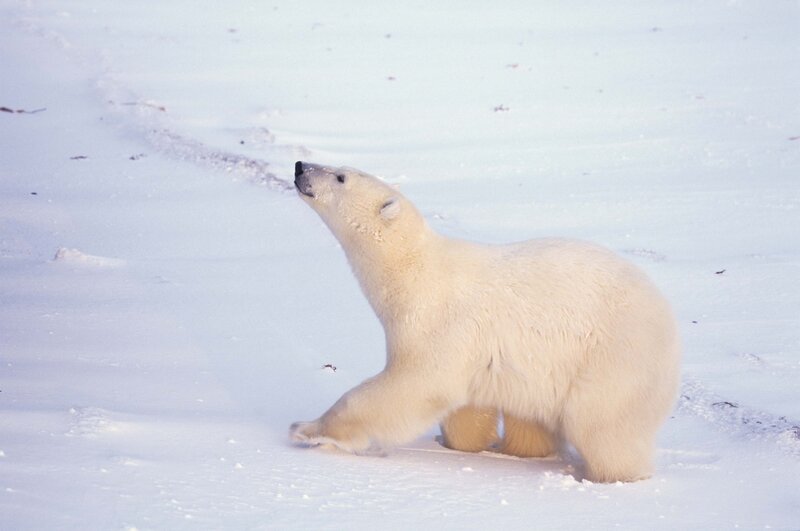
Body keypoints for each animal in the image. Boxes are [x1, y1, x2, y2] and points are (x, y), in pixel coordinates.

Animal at [290, 161, 680, 483]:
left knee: (603, 425)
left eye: (341, 176)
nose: (300, 166)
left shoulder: (439, 323)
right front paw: (455, 441)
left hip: (613, 356)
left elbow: (412, 385)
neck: (414, 270)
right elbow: (468, 407)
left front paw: (306, 428)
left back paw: (606, 474)